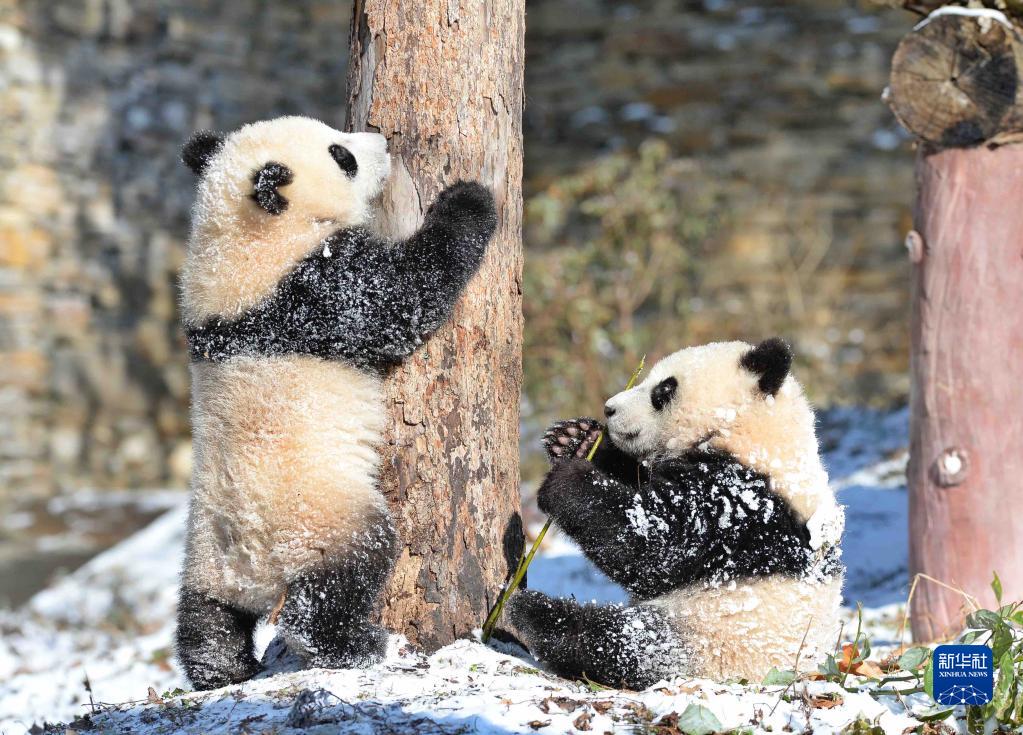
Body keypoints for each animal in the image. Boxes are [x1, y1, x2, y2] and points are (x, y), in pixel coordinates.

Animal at [173, 115, 497, 692]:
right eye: (340, 155)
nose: (382, 142)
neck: (238, 242)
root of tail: (252, 565)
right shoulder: (315, 290)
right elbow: (400, 297)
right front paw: (469, 200)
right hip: (321, 514)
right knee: (344, 574)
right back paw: (357, 644)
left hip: (205, 552)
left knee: (205, 621)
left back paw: (223, 672)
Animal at [505, 339, 847, 692]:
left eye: (664, 390)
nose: (609, 408)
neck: (753, 434)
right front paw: (576, 439)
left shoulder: (743, 506)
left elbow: (656, 545)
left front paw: (568, 479)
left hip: (710, 638)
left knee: (622, 643)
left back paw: (535, 613)